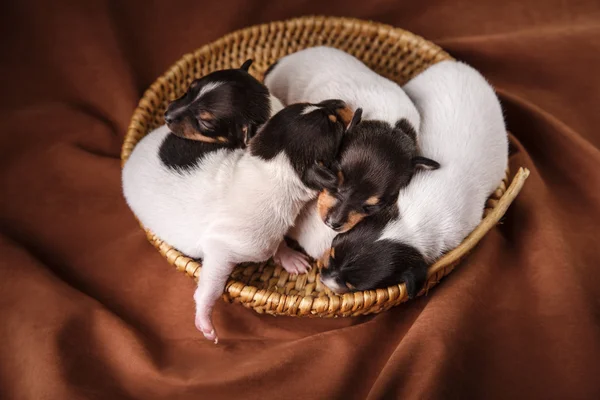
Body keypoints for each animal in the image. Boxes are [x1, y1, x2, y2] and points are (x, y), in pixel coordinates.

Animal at [123, 97, 354, 344]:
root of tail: (133, 154)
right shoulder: (222, 249)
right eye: (335, 125)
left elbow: (278, 242)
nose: (342, 102)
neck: (272, 166)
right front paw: (204, 320)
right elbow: (211, 285)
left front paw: (287, 255)